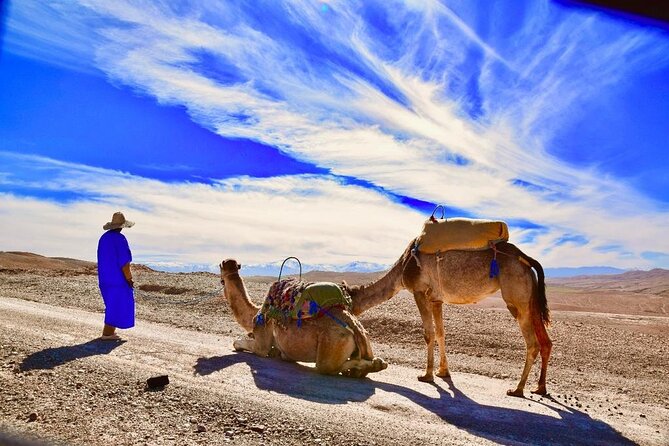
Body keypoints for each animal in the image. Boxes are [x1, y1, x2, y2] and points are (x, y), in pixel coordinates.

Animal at [219, 259, 387, 378]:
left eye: (220, 269)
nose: (221, 280)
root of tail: (353, 326)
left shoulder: (262, 340)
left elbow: (240, 344)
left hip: (333, 343)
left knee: (327, 368)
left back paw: (374, 365)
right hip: (363, 338)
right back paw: (375, 365)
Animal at [347, 239, 552, 397]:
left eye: (349, 302)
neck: (402, 267)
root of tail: (526, 259)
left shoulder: (419, 291)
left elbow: (428, 333)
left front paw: (427, 375)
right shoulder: (436, 299)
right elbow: (440, 333)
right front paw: (443, 372)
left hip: (516, 298)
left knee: (532, 343)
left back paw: (517, 389)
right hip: (530, 297)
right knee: (546, 342)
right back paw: (539, 388)